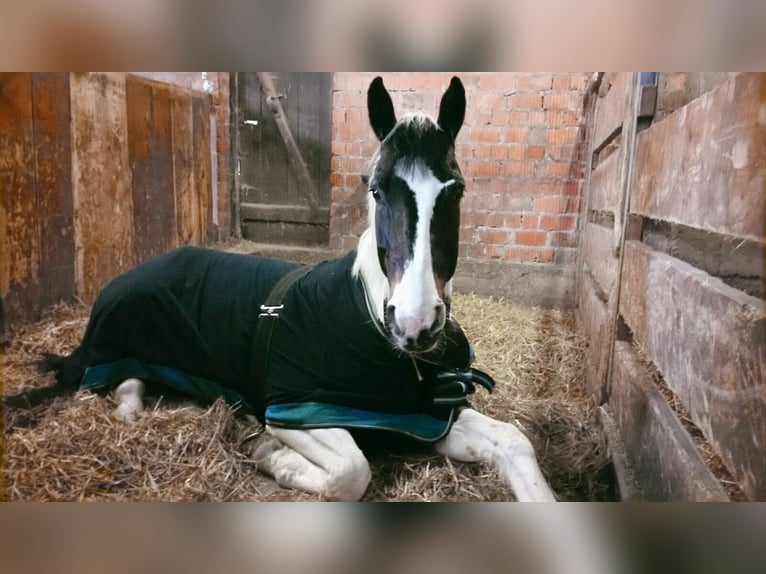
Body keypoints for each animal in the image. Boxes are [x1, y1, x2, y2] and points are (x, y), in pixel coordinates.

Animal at [5, 76, 555, 501]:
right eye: (376, 189)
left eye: (455, 190)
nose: (415, 323)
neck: (369, 322)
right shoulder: (295, 413)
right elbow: (350, 472)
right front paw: (268, 455)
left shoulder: (425, 419)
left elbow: (514, 441)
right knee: (101, 382)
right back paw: (129, 408)